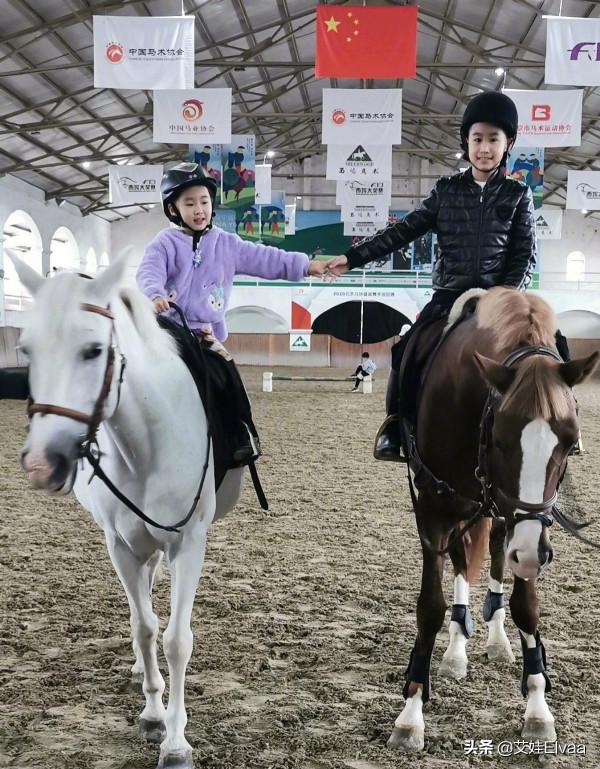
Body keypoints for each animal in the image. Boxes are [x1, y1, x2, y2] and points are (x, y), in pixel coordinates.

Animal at [8, 251, 246, 769]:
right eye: (27, 350)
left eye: (94, 350)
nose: (41, 465)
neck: (147, 445)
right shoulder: (120, 547)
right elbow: (144, 627)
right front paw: (153, 714)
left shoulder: (188, 544)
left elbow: (177, 639)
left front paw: (176, 742)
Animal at [388, 287, 599, 751]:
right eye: (501, 439)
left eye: (570, 440)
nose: (533, 555)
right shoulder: (434, 509)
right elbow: (430, 607)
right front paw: (411, 712)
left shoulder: (524, 524)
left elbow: (526, 607)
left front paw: (537, 706)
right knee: (465, 563)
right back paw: (455, 652)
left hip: (502, 517)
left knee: (499, 560)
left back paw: (498, 641)